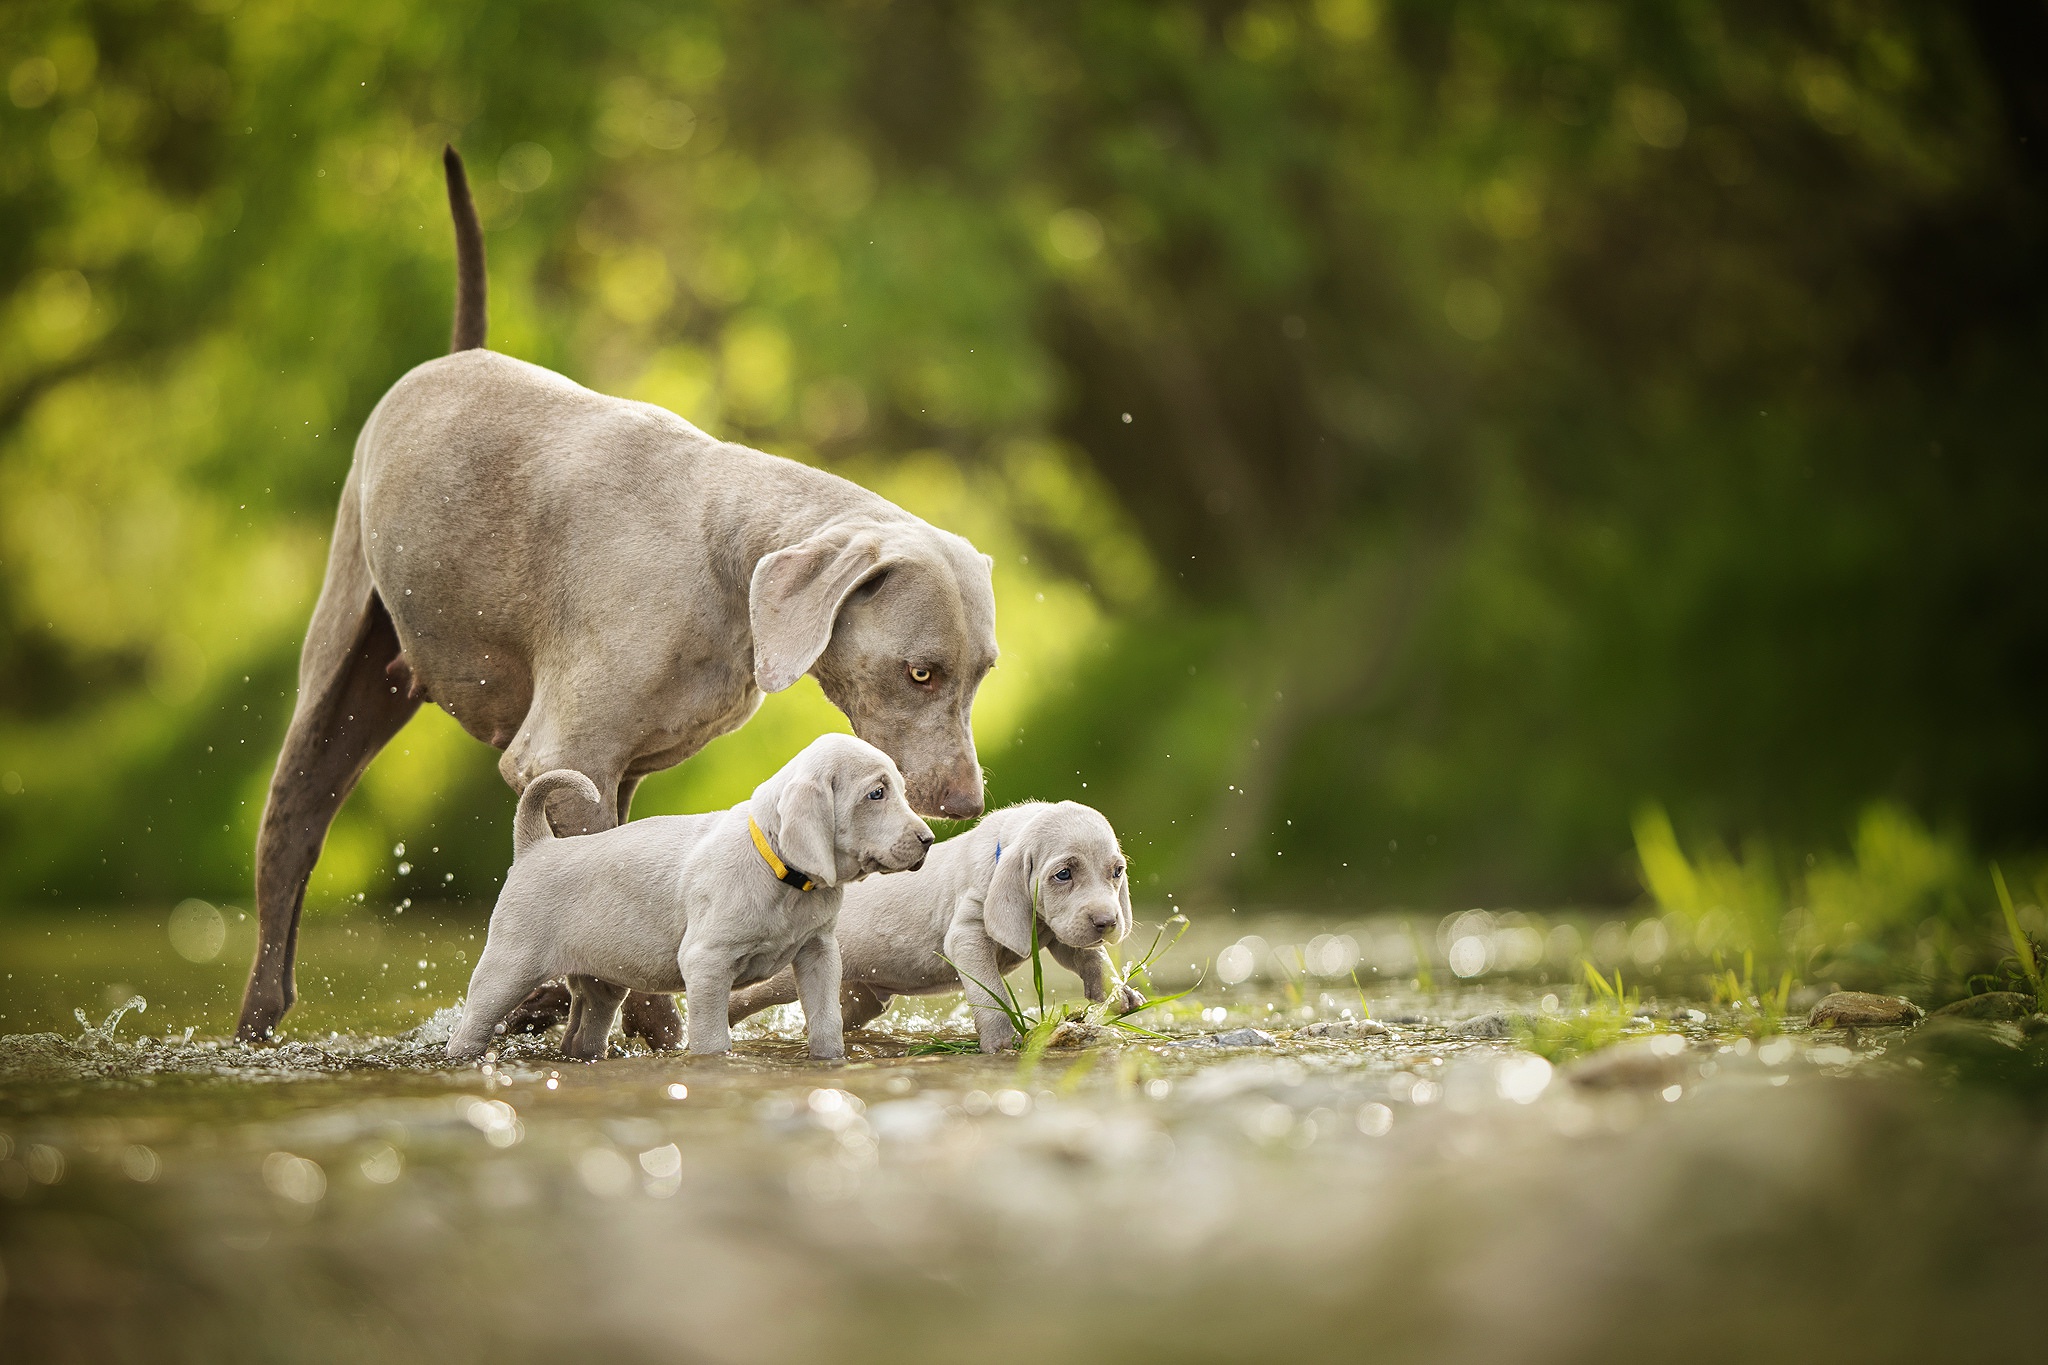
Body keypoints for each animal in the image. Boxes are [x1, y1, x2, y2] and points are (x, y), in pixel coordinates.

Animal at [235, 149, 995, 1039]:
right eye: (921, 671)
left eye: (983, 671)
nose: (966, 803)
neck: (722, 562)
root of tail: (455, 355)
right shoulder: (564, 752)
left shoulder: (619, 768)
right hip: (342, 644)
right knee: (291, 828)